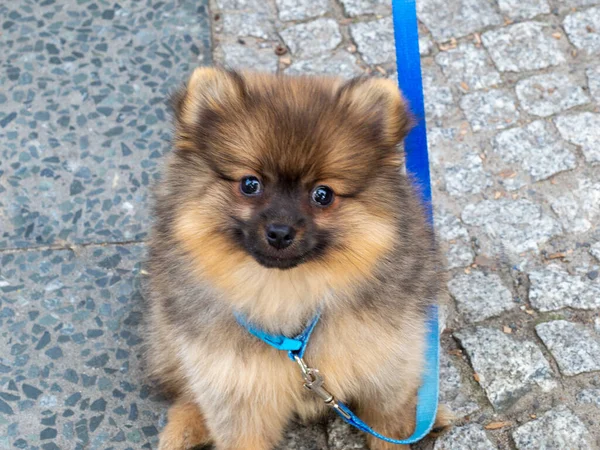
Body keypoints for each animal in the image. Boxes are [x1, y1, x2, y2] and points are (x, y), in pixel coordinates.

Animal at [143, 67, 448, 450]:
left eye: (323, 194)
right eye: (250, 184)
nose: (280, 231)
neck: (288, 293)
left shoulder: (390, 366)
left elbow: (390, 424)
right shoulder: (233, 387)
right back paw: (185, 427)